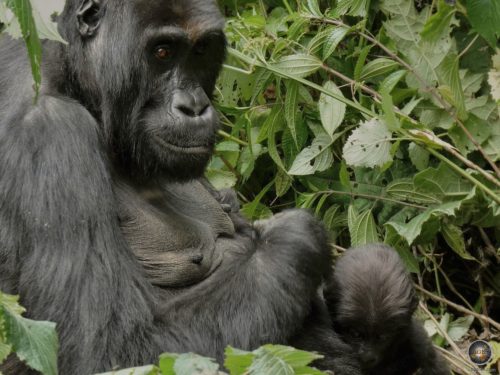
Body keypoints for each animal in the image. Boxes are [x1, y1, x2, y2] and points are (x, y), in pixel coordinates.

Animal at [0, 0, 360, 375]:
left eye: (201, 51)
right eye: (162, 52)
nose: (195, 107)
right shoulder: (48, 130)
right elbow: (107, 352)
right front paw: (296, 234)